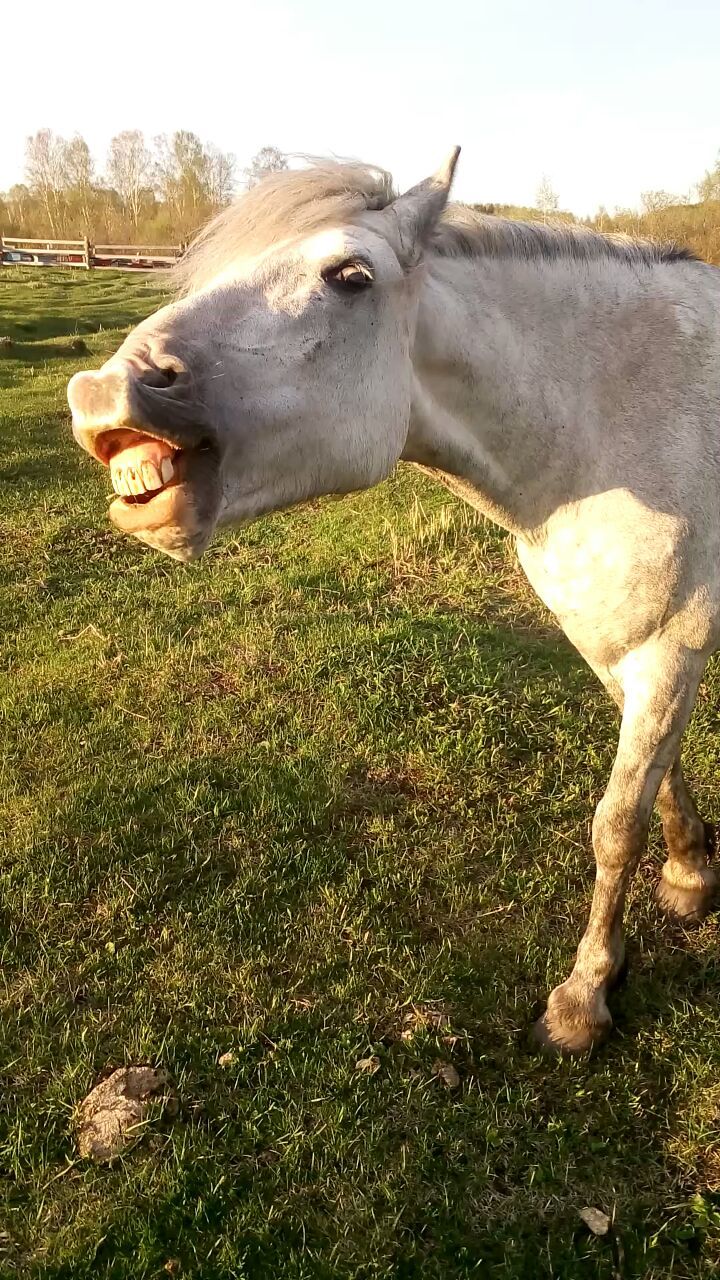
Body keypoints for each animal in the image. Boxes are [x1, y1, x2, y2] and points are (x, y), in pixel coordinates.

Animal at [65, 149, 717, 1054]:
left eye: (350, 276)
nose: (102, 395)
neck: (623, 413)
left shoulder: (669, 645)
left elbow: (616, 823)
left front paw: (583, 998)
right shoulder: (617, 644)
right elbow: (661, 774)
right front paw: (692, 872)